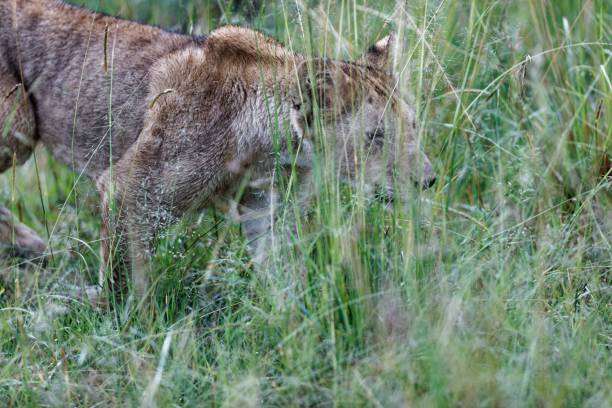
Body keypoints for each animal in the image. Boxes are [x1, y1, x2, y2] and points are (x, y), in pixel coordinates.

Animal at [0, 0, 436, 300]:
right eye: (376, 137)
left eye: (414, 126)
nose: (429, 180)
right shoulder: (130, 190)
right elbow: (125, 278)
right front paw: (127, 326)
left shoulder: (266, 207)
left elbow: (279, 269)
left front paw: (292, 319)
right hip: (18, 122)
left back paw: (33, 250)